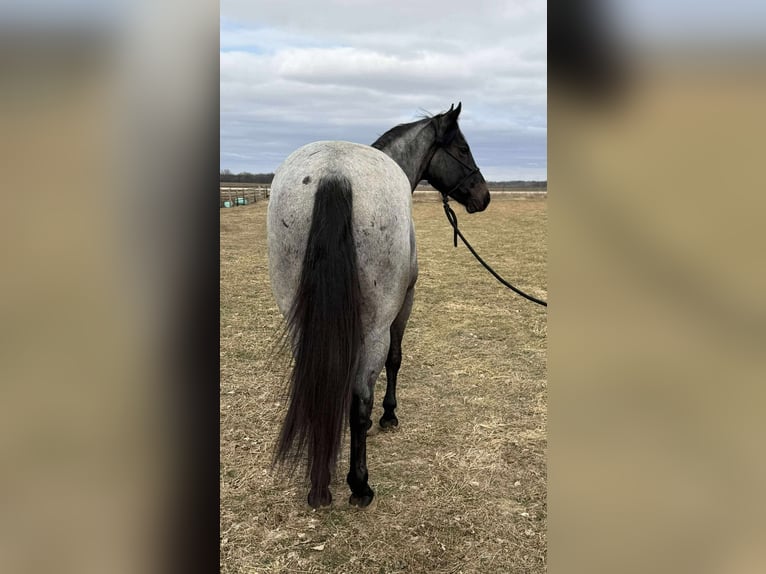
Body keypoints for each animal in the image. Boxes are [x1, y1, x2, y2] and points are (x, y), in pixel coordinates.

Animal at [267, 102, 490, 509]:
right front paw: (388, 416)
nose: (484, 196)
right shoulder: (403, 305)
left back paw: (319, 487)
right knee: (360, 400)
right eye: (463, 149)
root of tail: (335, 173)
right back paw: (360, 486)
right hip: (375, 328)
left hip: (298, 320)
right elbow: (395, 360)